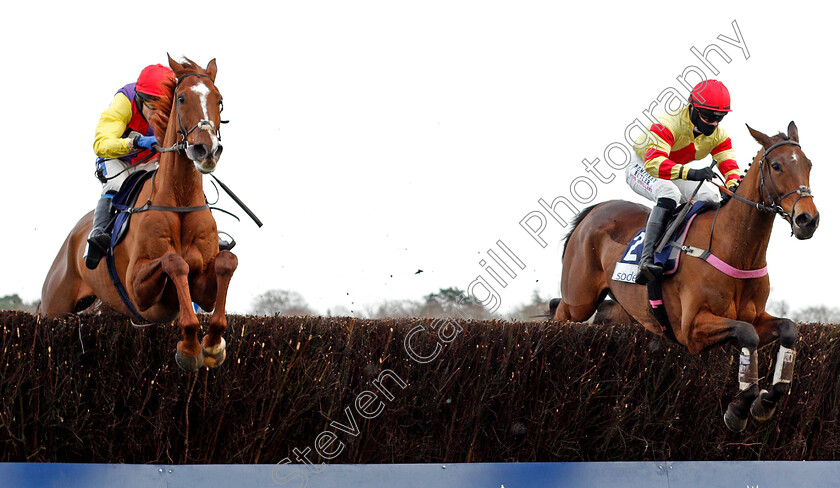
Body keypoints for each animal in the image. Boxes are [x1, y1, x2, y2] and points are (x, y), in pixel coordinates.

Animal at [39, 55, 236, 372]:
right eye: (181, 98)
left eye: (219, 101)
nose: (206, 149)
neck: (179, 200)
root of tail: (72, 238)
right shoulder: (138, 290)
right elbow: (174, 261)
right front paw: (190, 348)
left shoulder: (203, 289)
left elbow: (227, 262)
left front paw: (213, 345)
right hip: (53, 307)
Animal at [552, 123, 820, 430]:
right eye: (776, 166)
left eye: (808, 164)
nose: (807, 219)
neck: (735, 247)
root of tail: (596, 209)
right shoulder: (691, 329)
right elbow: (746, 334)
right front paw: (740, 407)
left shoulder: (755, 317)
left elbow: (788, 328)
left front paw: (765, 400)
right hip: (578, 301)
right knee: (559, 312)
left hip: (628, 309)